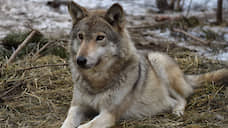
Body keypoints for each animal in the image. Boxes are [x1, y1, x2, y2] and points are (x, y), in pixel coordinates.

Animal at [61, 1, 228, 128]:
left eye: (100, 37)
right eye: (80, 36)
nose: (80, 60)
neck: (97, 81)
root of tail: (184, 75)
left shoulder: (109, 114)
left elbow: (84, 126)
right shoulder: (77, 107)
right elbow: (67, 123)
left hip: (157, 60)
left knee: (182, 98)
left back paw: (177, 111)